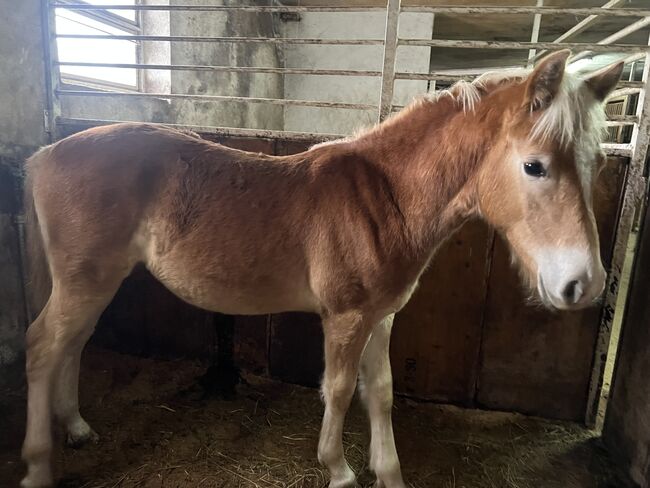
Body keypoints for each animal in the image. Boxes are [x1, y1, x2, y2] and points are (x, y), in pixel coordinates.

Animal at [21, 50, 624, 488]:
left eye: (595, 162)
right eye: (534, 166)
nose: (585, 283)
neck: (386, 199)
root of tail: (42, 156)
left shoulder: (382, 317)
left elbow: (380, 391)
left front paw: (389, 473)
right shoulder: (346, 317)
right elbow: (336, 389)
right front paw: (338, 470)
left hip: (94, 282)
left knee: (74, 344)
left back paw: (76, 427)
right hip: (85, 280)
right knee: (44, 346)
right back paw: (37, 465)